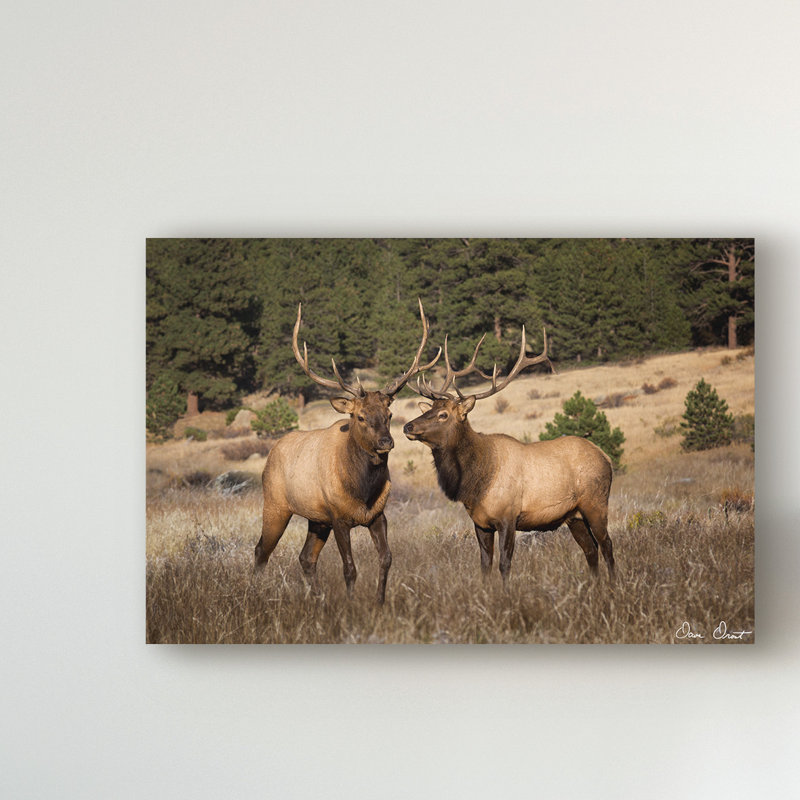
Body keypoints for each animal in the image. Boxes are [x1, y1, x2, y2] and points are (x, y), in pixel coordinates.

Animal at [254, 300, 440, 603]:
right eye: (360, 417)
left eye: (389, 414)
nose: (386, 442)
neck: (362, 489)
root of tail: (272, 452)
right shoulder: (338, 517)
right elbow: (349, 568)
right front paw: (352, 604)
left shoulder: (377, 515)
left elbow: (387, 558)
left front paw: (379, 601)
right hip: (276, 504)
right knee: (261, 551)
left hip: (316, 519)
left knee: (305, 557)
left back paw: (317, 599)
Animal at [402, 327, 615, 584]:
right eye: (430, 410)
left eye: (443, 415)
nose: (408, 426)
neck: (474, 482)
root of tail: (606, 457)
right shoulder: (480, 523)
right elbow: (485, 565)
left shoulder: (508, 517)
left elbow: (505, 564)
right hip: (573, 515)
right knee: (590, 549)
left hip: (596, 503)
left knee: (607, 545)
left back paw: (614, 585)